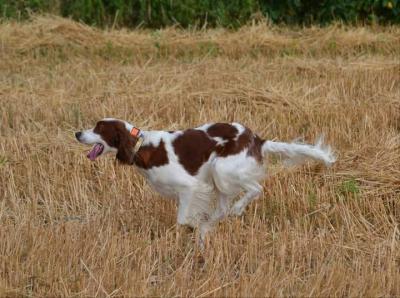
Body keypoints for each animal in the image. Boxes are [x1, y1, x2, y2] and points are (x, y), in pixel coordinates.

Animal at [74, 117, 334, 243]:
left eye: (98, 128)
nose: (77, 133)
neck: (140, 145)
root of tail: (258, 139)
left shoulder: (190, 186)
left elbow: (182, 220)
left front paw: (194, 231)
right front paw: (201, 231)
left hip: (223, 169)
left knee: (255, 189)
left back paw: (236, 209)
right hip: (220, 179)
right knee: (224, 208)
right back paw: (211, 225)